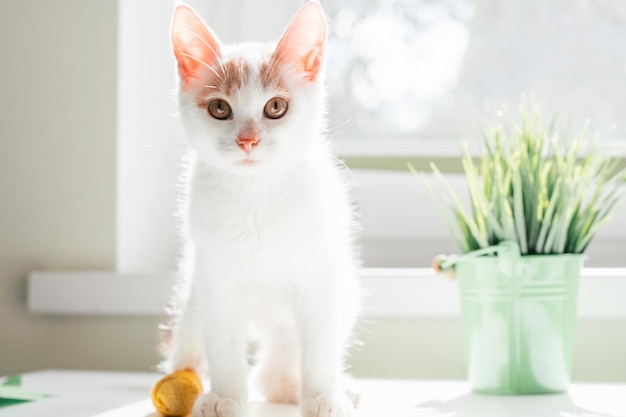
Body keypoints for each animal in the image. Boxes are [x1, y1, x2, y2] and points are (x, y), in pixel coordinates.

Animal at [161, 3, 360, 416]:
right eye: (220, 108)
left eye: (276, 107)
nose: (247, 140)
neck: (255, 193)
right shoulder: (215, 280)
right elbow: (224, 343)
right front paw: (225, 395)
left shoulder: (320, 276)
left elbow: (320, 344)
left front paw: (323, 396)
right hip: (193, 293)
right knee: (189, 344)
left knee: (280, 360)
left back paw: (306, 387)